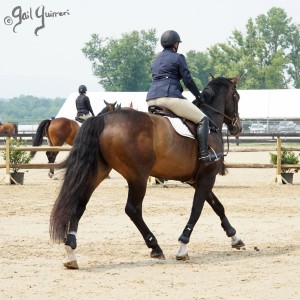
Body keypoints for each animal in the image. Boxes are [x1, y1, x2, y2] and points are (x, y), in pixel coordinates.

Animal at [50, 76, 245, 268]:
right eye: (237, 97)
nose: (238, 128)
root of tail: (104, 120)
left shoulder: (198, 179)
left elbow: (217, 205)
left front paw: (235, 238)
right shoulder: (207, 177)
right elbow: (197, 209)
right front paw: (183, 246)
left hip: (97, 172)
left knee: (79, 203)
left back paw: (70, 252)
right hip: (138, 176)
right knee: (133, 209)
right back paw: (155, 246)